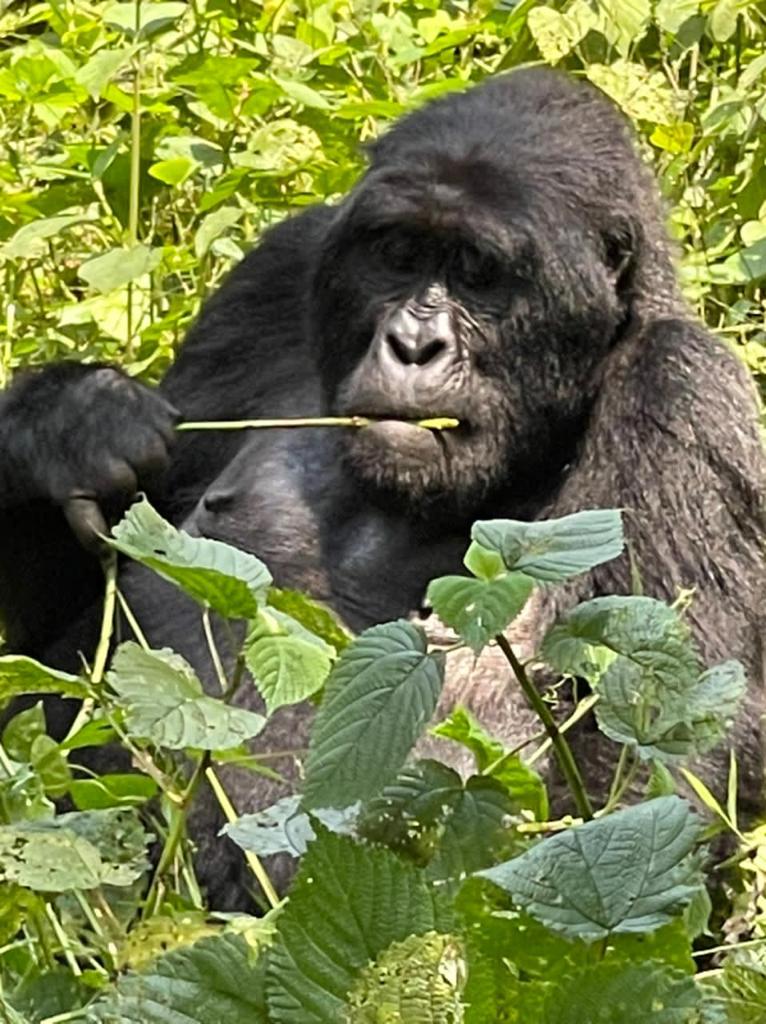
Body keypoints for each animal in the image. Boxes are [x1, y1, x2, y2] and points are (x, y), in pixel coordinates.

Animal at [1, 68, 766, 909]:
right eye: (399, 254)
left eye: (478, 273)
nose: (412, 343)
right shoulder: (277, 269)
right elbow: (66, 630)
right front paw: (70, 424)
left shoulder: (684, 388)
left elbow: (648, 761)